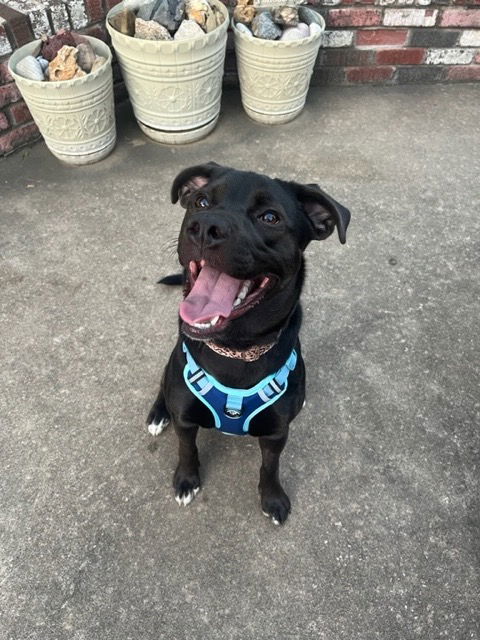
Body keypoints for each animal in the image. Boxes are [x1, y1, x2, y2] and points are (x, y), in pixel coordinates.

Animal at [146, 161, 348, 524]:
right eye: (200, 201)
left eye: (270, 217)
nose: (205, 227)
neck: (236, 351)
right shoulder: (186, 419)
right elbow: (187, 448)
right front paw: (186, 480)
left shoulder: (276, 434)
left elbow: (270, 466)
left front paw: (273, 498)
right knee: (162, 386)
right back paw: (157, 414)